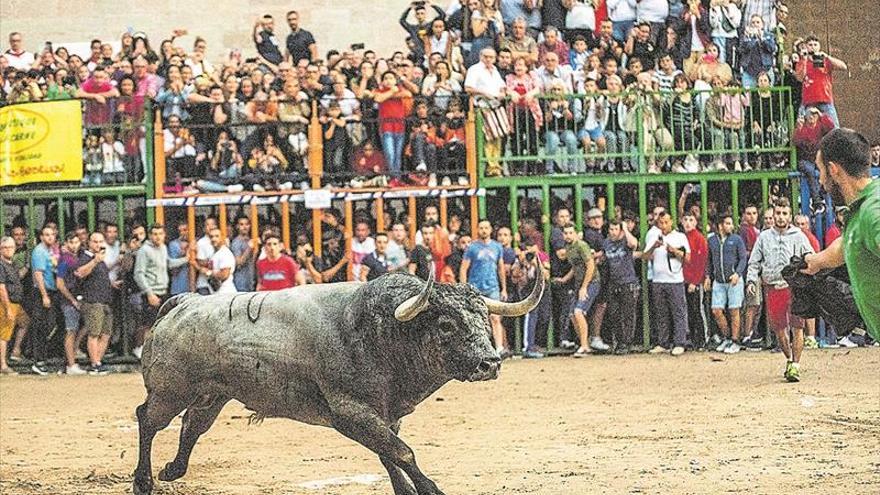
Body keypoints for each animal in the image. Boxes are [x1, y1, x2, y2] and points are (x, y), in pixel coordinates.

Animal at [132, 268, 544, 495]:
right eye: (445, 325)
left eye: (483, 319)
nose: (490, 363)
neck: (378, 332)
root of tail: (183, 303)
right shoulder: (349, 413)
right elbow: (401, 452)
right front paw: (431, 489)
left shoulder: (384, 416)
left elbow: (388, 453)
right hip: (170, 392)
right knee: (147, 419)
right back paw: (143, 481)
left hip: (212, 396)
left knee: (192, 426)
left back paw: (171, 471)